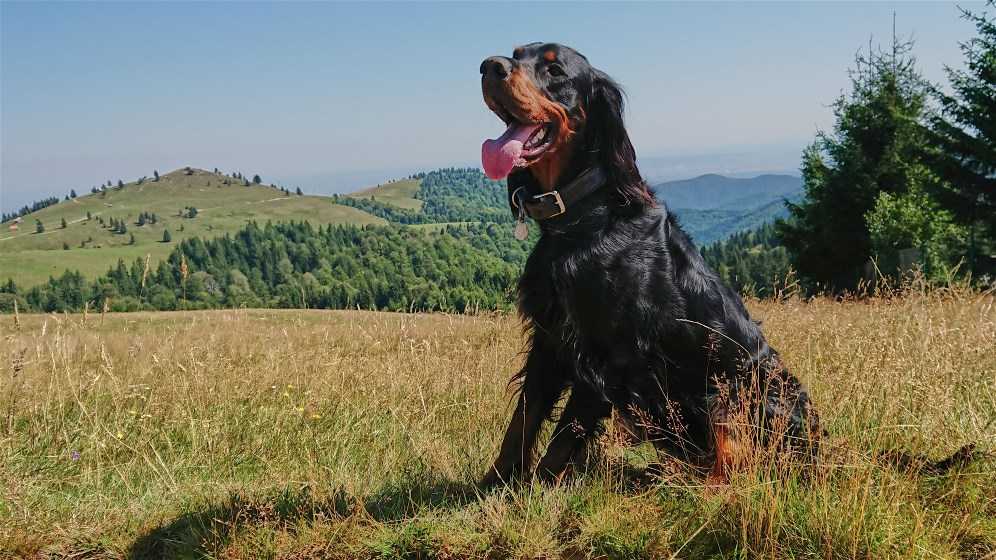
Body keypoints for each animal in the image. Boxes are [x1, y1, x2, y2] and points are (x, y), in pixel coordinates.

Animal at [480, 42, 816, 486]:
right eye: (517, 53)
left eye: (554, 70)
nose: (489, 67)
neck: (584, 216)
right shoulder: (550, 338)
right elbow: (523, 419)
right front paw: (491, 486)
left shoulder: (611, 356)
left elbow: (564, 437)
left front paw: (540, 491)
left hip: (729, 393)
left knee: (734, 470)